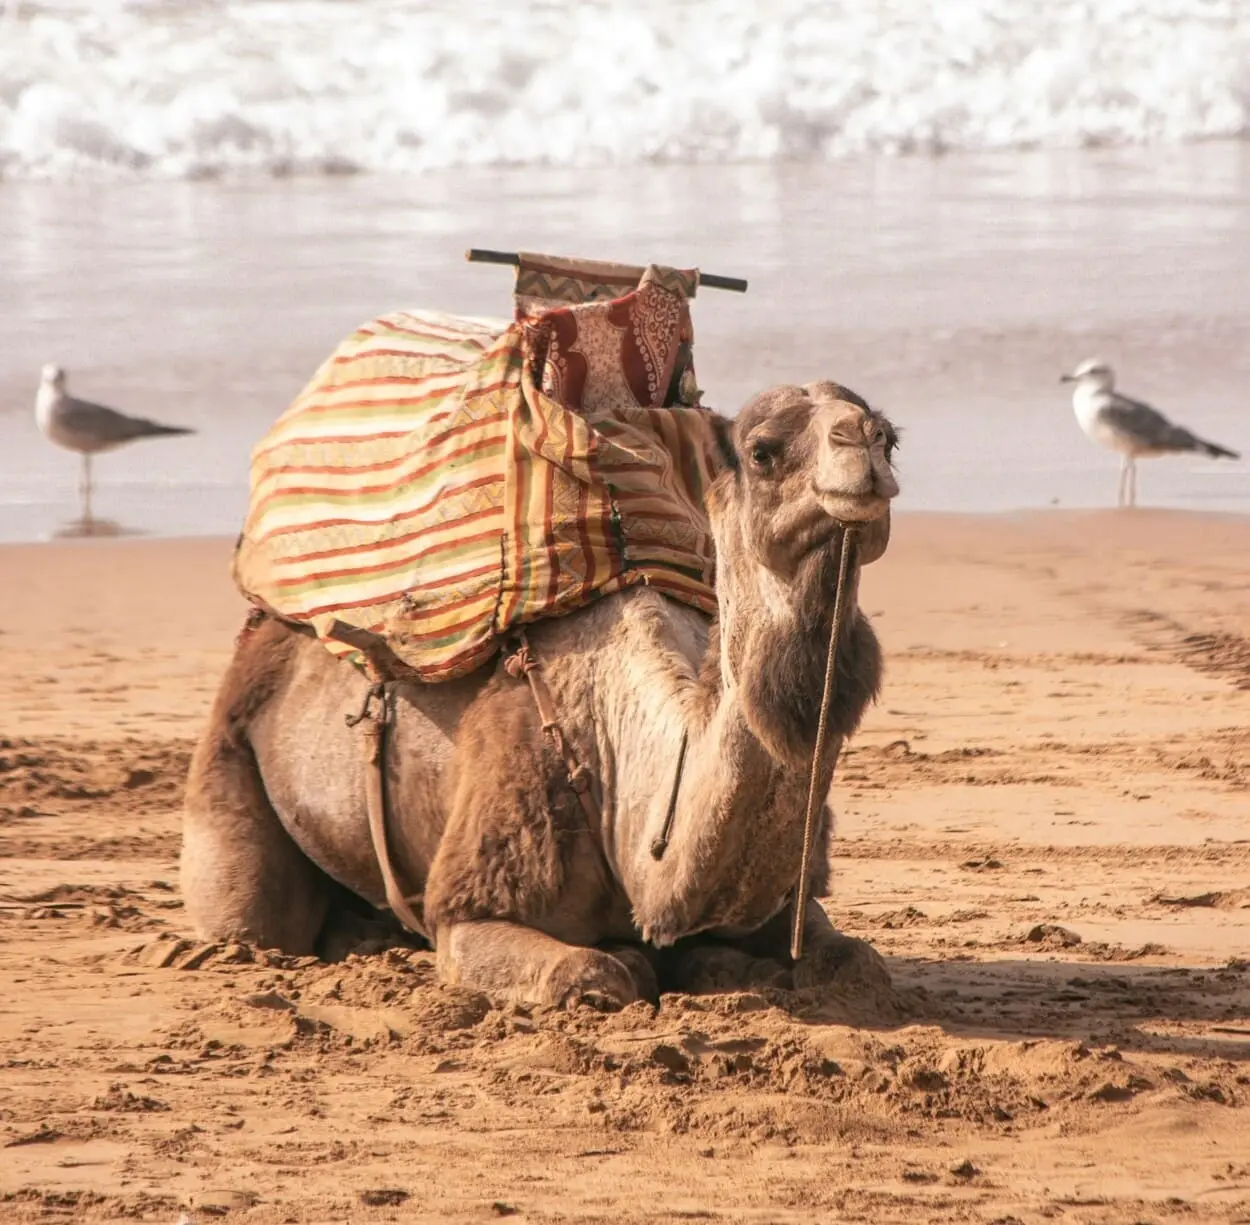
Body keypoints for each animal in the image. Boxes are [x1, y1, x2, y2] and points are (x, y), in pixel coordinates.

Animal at [181, 380, 900, 1009]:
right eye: (762, 451)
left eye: (890, 436)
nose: (865, 438)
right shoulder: (473, 901)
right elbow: (596, 973)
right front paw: (638, 960)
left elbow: (854, 960)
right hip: (229, 760)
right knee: (254, 921)